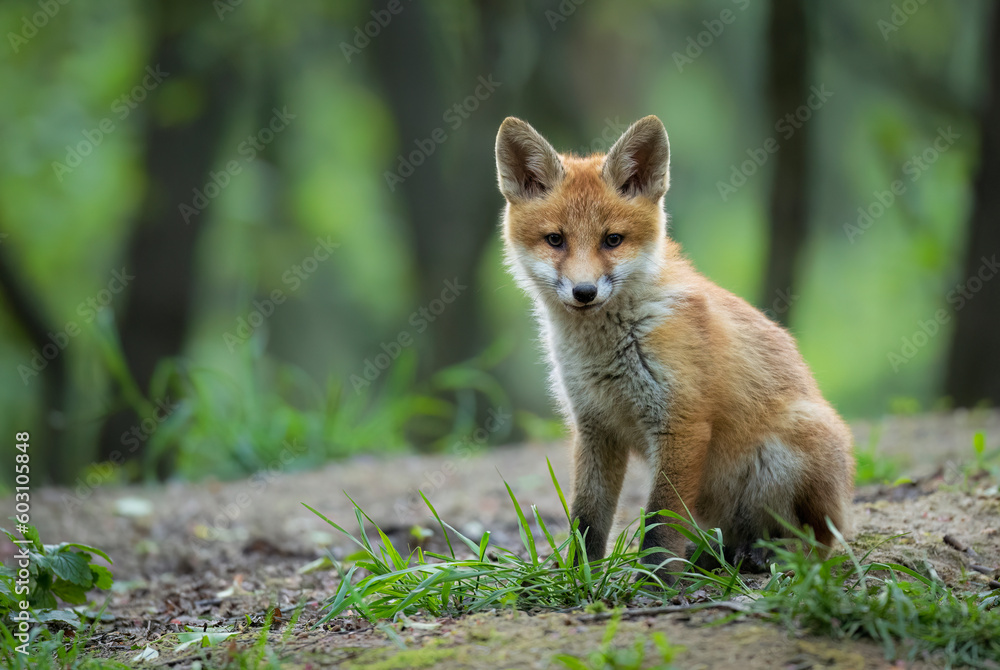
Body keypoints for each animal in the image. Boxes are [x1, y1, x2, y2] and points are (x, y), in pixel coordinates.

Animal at [494, 115, 854, 574]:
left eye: (612, 240)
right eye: (555, 240)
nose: (584, 292)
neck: (607, 351)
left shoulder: (682, 422)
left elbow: (660, 523)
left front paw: (654, 581)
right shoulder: (594, 427)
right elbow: (587, 519)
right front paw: (579, 575)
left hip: (790, 452)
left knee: (820, 543)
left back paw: (771, 554)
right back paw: (717, 556)